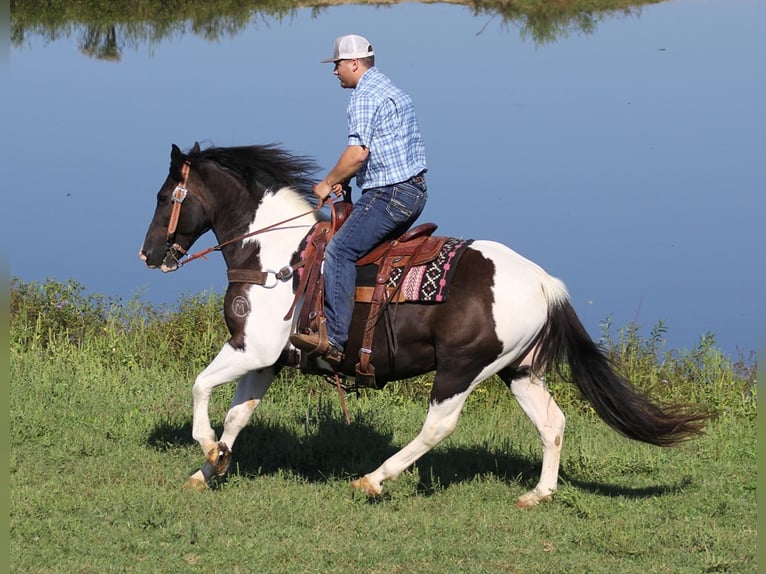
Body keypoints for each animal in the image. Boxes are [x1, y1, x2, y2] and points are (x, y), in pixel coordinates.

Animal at [141, 144, 712, 508]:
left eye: (165, 196)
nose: (149, 254)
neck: (276, 256)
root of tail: (544, 283)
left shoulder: (251, 348)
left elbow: (200, 388)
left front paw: (204, 447)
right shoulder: (268, 360)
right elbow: (237, 417)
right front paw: (210, 468)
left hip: (461, 368)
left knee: (438, 426)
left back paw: (373, 481)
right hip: (520, 371)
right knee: (552, 423)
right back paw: (538, 494)